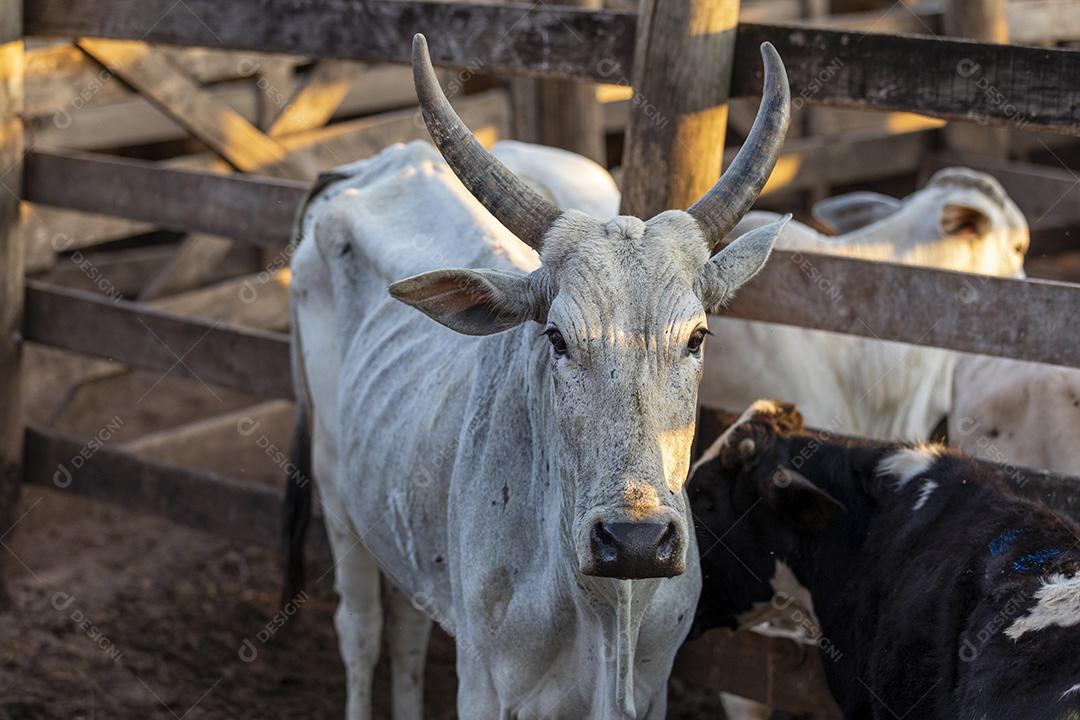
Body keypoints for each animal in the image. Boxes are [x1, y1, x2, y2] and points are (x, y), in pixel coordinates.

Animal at [284, 34, 792, 719]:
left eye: (696, 337)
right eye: (556, 337)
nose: (635, 539)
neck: (608, 614)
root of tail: (376, 162)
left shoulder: (652, 689)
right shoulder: (483, 686)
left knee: (408, 630)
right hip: (338, 494)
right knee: (360, 633)